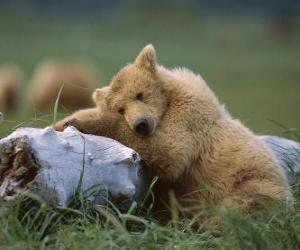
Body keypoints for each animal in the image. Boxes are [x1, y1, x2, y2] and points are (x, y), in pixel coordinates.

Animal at [53, 45, 290, 227]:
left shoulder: (190, 115)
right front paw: (64, 121)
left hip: (252, 182)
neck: (167, 102)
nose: (141, 124)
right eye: (121, 108)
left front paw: (82, 122)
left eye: (139, 94)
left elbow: (169, 150)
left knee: (238, 209)